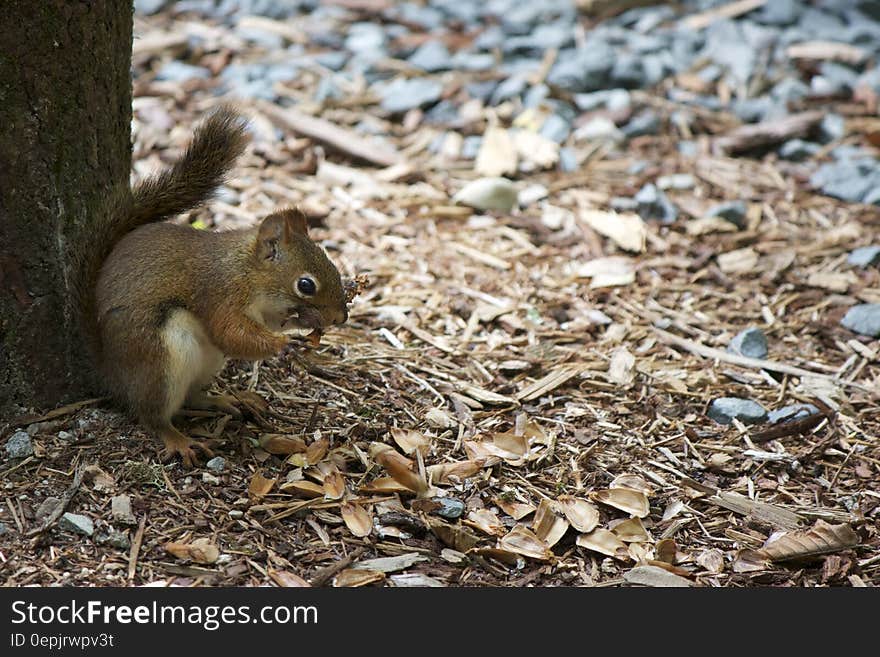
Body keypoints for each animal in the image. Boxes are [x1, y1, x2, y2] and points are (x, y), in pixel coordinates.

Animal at [72, 107, 348, 466]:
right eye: (306, 284)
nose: (341, 317)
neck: (246, 269)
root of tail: (112, 374)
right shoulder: (220, 293)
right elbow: (230, 332)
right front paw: (283, 344)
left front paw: (304, 325)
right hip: (161, 358)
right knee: (151, 414)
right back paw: (177, 439)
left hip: (207, 361)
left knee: (192, 397)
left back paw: (229, 400)